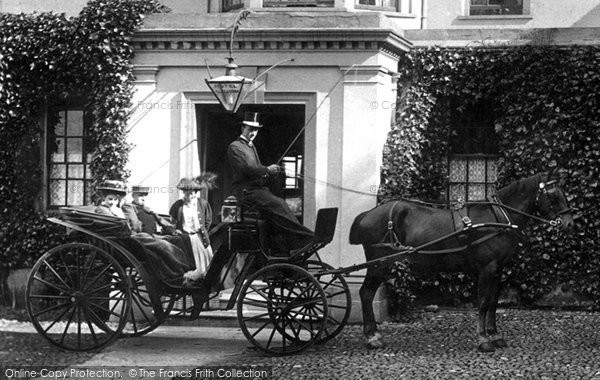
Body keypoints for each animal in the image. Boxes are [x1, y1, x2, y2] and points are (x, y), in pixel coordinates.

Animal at [350, 170, 576, 354]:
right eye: (554, 195)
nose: (569, 223)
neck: (497, 218)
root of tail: (368, 214)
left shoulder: (499, 270)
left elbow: (493, 302)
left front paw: (495, 335)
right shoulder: (487, 268)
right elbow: (483, 303)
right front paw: (483, 340)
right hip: (378, 265)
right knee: (366, 293)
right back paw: (372, 337)